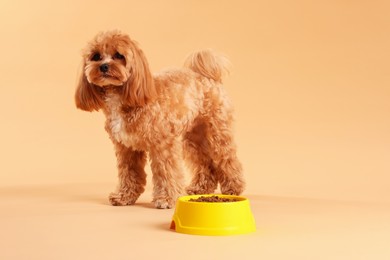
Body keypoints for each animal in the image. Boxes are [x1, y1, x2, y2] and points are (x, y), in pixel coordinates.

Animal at [75, 30, 245, 208]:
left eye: (119, 55)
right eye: (96, 56)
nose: (103, 66)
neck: (124, 97)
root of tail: (207, 77)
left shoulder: (163, 145)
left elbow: (166, 172)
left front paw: (166, 199)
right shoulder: (126, 148)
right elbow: (128, 173)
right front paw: (124, 196)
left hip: (217, 133)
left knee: (228, 159)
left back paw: (233, 188)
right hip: (195, 138)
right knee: (206, 163)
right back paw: (201, 188)